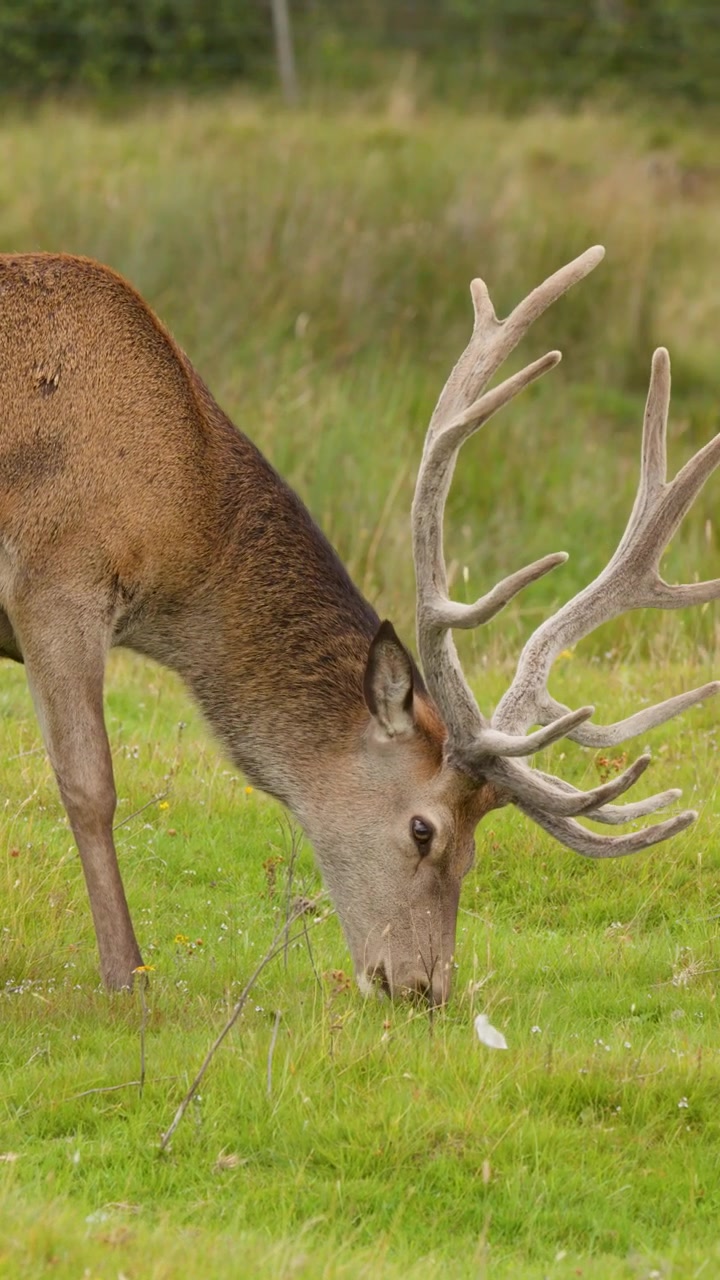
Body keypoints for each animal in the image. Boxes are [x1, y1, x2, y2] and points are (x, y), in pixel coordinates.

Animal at [0, 246, 719, 1005]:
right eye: (424, 830)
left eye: (474, 847)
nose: (424, 986)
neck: (183, 515)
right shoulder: (58, 575)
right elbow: (90, 785)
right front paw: (126, 977)